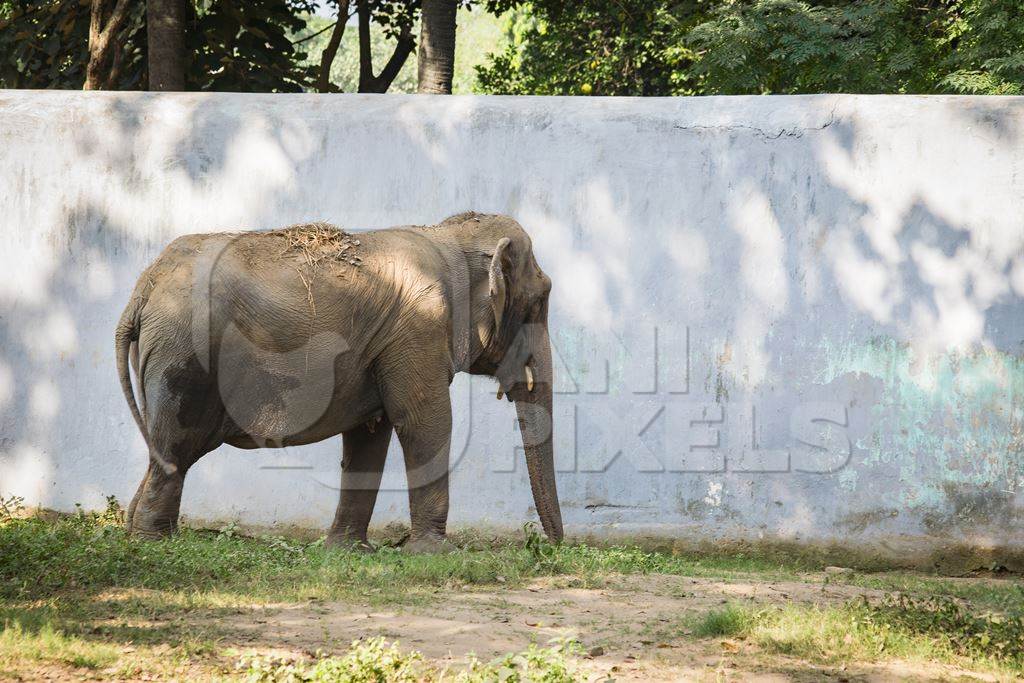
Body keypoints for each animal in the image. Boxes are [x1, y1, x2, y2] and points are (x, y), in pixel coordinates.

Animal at [116, 210, 565, 552]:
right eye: (539, 301)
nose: (551, 546)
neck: (448, 235)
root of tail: (143, 288)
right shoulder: (419, 328)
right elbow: (423, 421)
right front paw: (437, 553)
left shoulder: (383, 344)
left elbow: (369, 434)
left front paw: (348, 550)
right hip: (184, 355)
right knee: (176, 446)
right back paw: (155, 542)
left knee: (163, 448)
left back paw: (137, 532)